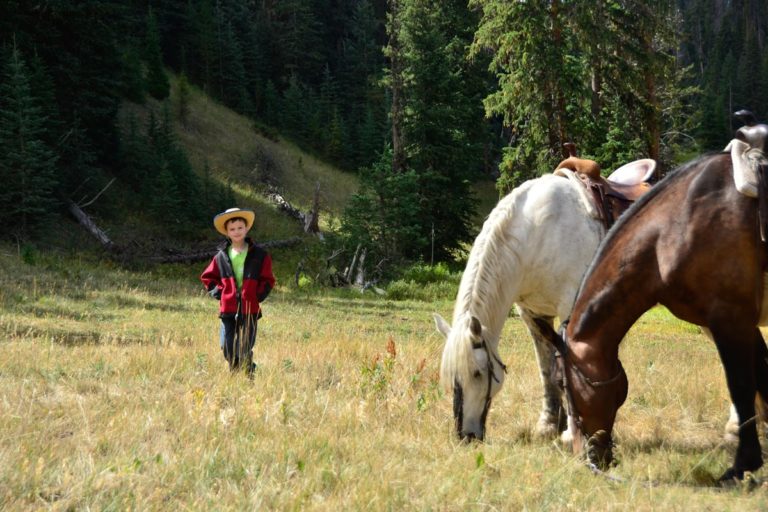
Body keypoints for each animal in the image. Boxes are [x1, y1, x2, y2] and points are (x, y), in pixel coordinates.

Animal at [432, 158, 656, 442]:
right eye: (451, 377)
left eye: (477, 373)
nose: (466, 436)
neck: (537, 235)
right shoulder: (533, 314)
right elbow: (547, 370)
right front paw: (549, 425)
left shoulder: (570, 308)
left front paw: (571, 432)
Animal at [544, 149, 768, 484]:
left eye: (561, 382)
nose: (586, 457)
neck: (674, 227)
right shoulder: (742, 323)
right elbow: (764, 378)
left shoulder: (731, 318)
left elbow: (741, 386)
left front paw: (742, 465)